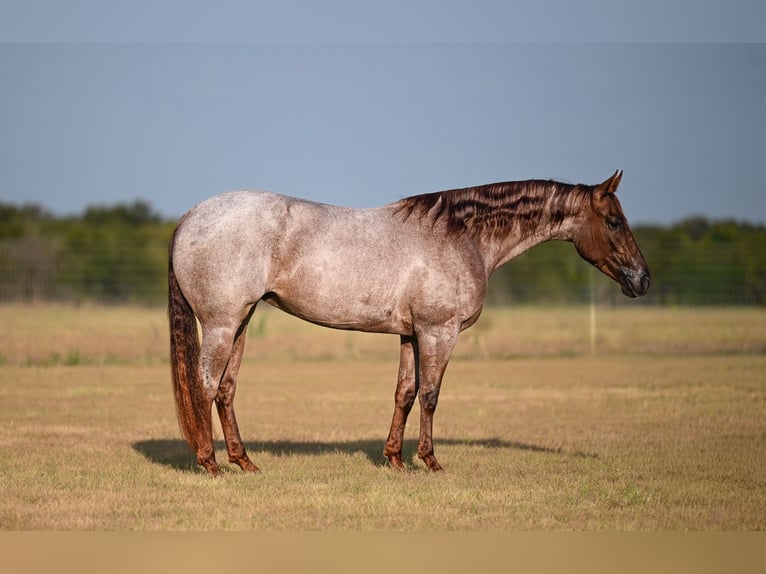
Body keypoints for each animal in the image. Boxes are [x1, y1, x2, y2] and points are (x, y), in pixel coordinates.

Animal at [168, 170, 650, 476]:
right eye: (614, 221)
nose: (642, 279)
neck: (460, 236)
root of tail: (190, 216)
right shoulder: (439, 332)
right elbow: (432, 395)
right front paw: (431, 461)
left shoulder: (410, 334)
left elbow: (404, 392)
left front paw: (396, 459)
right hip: (221, 325)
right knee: (205, 386)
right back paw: (211, 464)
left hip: (241, 322)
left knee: (226, 389)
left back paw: (244, 462)